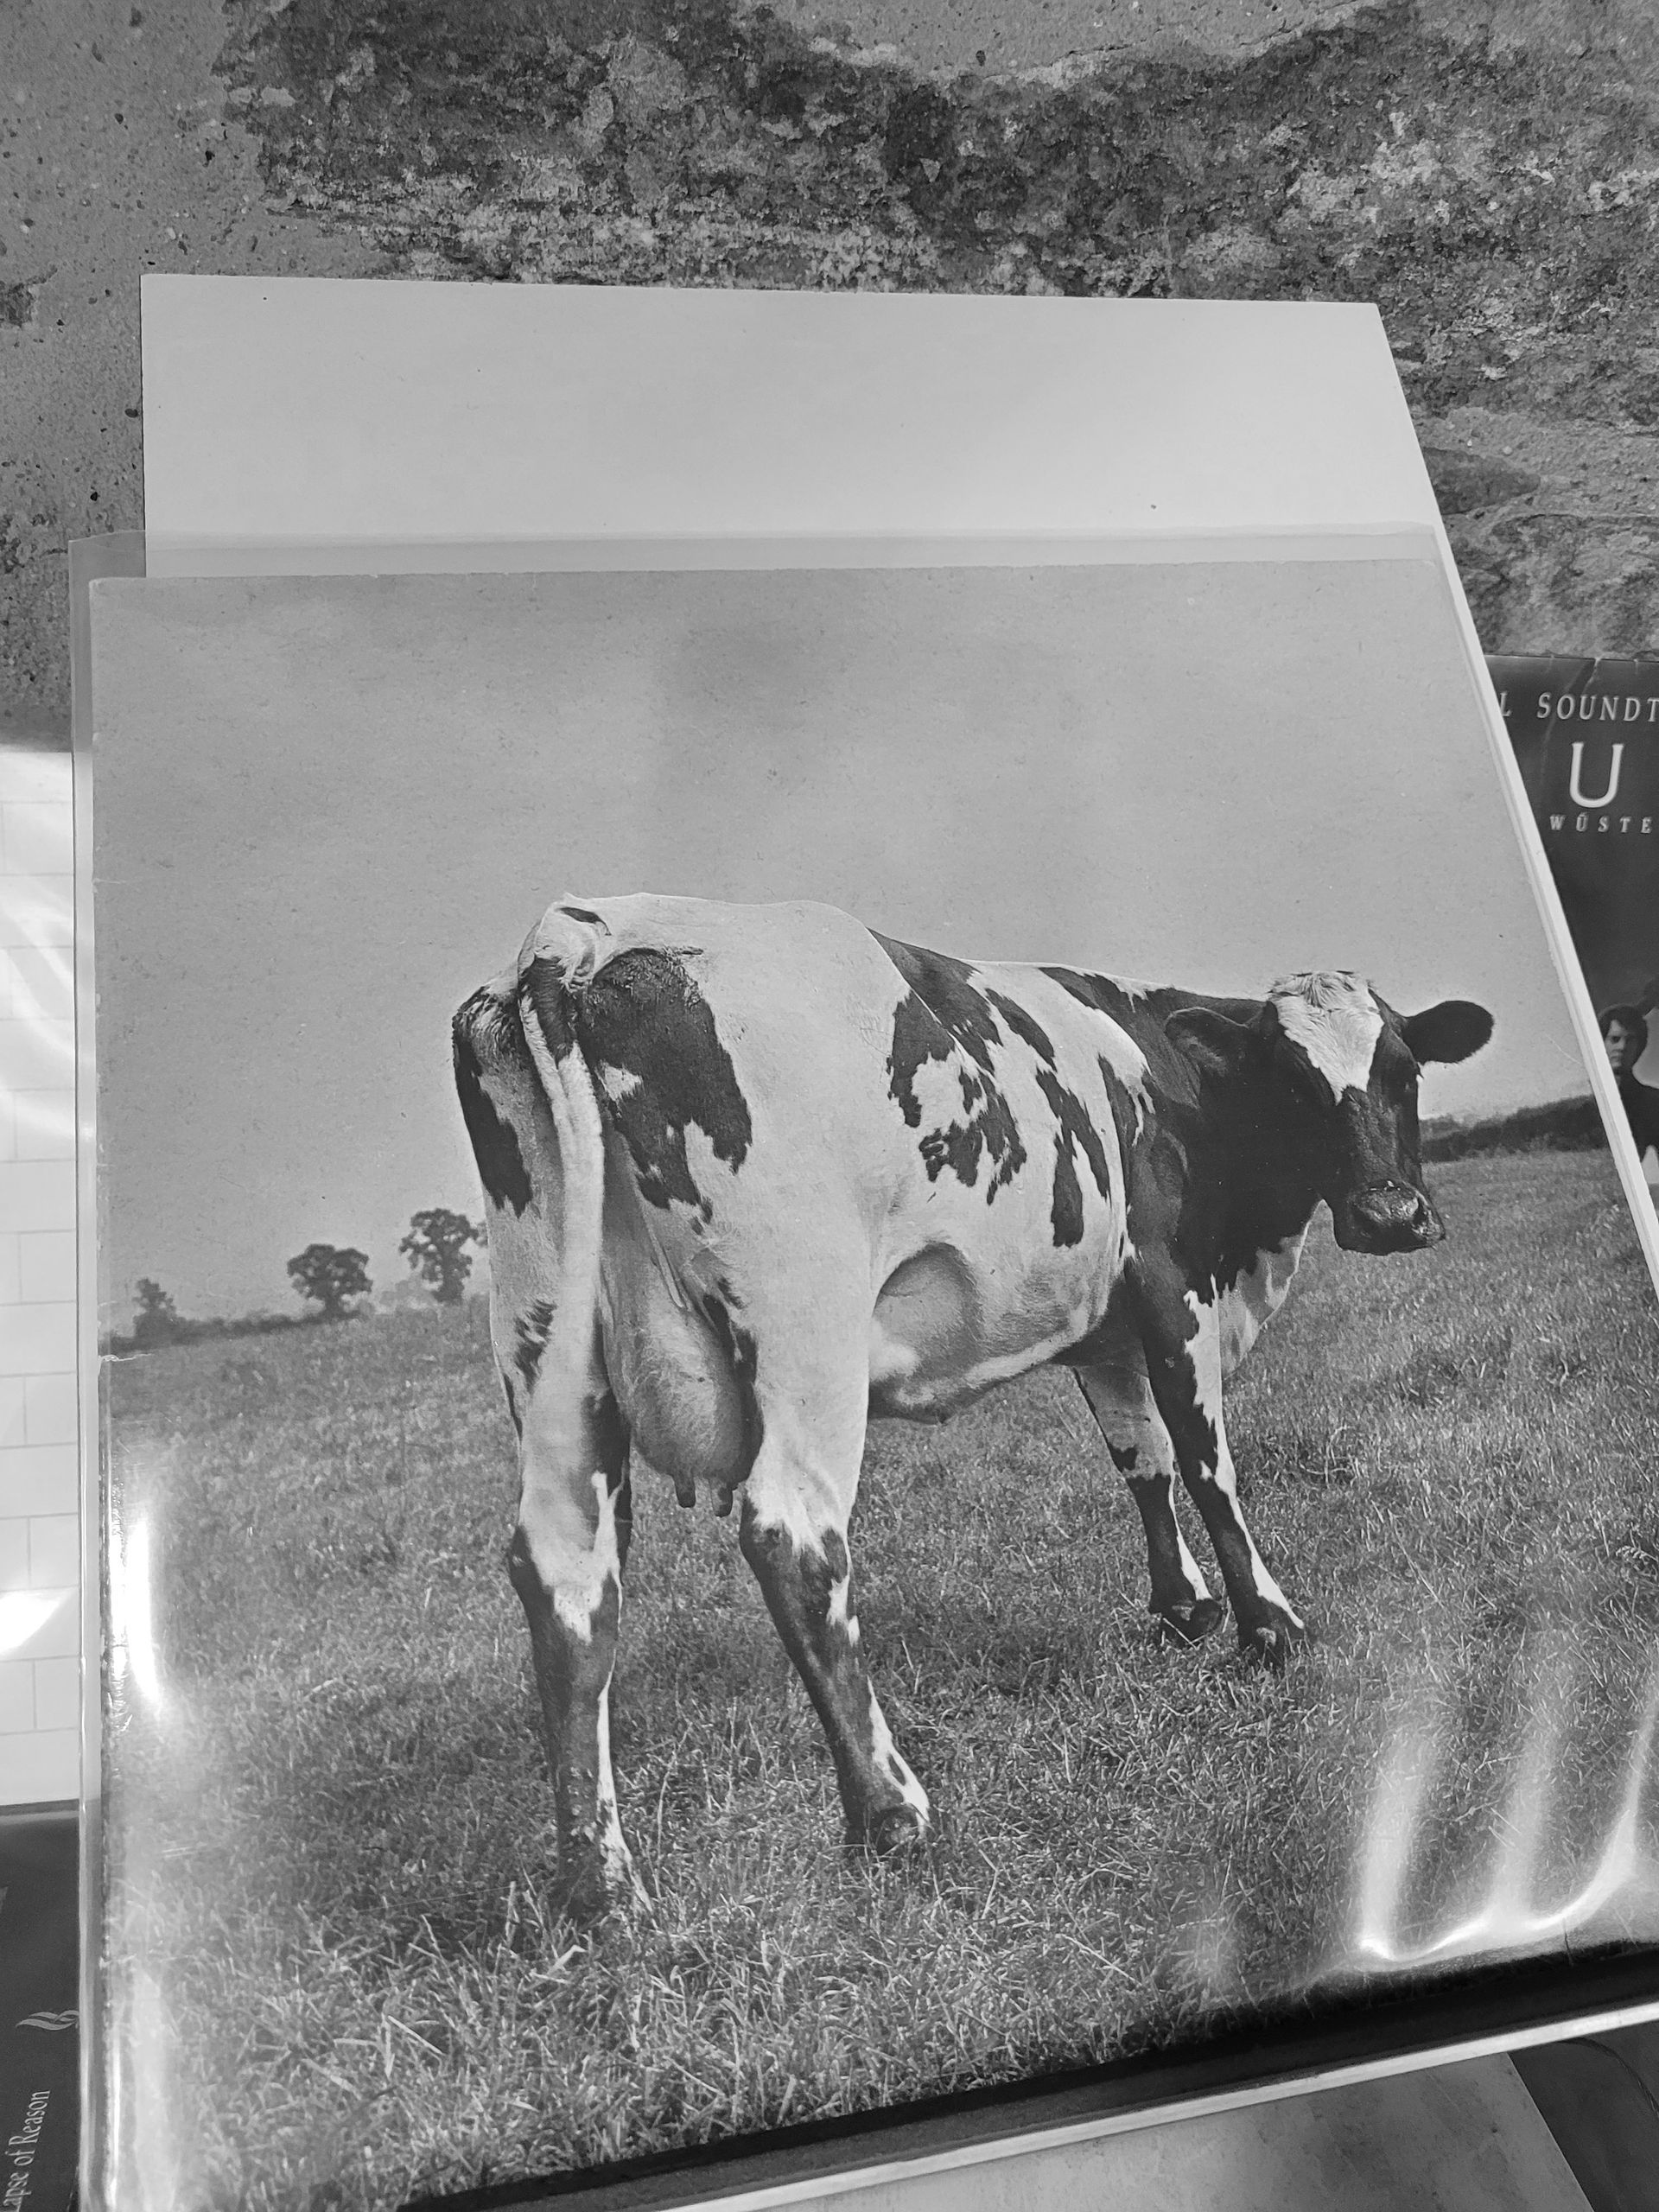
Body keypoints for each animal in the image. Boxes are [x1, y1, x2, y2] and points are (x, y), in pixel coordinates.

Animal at [453, 893, 1492, 1919]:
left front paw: (1181, 1609)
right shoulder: (1171, 1290)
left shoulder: (1102, 1326)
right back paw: (890, 1813)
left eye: (1403, 1072)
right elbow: (1206, 1463)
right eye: (1296, 1083)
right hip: (806, 1330)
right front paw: (1269, 1625)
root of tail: (585, 932)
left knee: (567, 1574)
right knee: (793, 1535)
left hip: (551, 1350)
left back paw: (602, 1883)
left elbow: (1142, 1461)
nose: (1391, 1215)